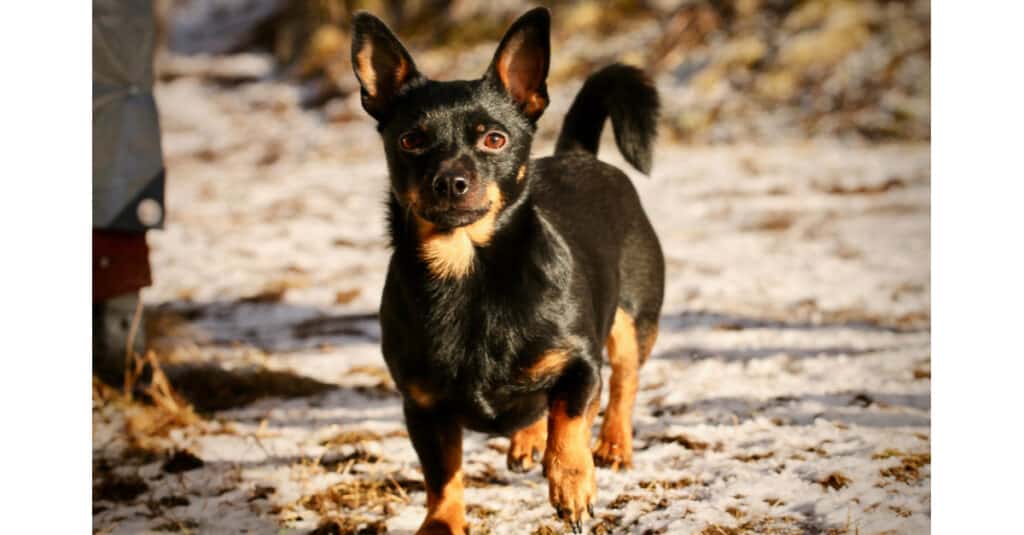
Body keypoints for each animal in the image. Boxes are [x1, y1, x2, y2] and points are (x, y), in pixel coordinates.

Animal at [352, 8, 667, 532]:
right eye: (411, 140)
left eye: (494, 139)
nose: (451, 181)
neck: (468, 273)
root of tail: (578, 154)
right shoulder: (423, 408)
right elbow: (442, 475)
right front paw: (442, 522)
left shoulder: (581, 367)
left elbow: (570, 421)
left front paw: (571, 483)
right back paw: (528, 439)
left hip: (632, 319)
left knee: (624, 382)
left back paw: (613, 445)